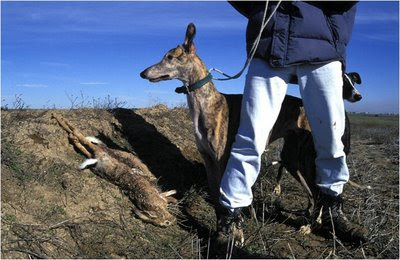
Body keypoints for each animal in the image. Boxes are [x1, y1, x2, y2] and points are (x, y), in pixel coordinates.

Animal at [219, 1, 368, 246]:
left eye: (352, 82)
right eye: (343, 83)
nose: (358, 95)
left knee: (318, 192)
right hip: (294, 161)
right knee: (311, 192)